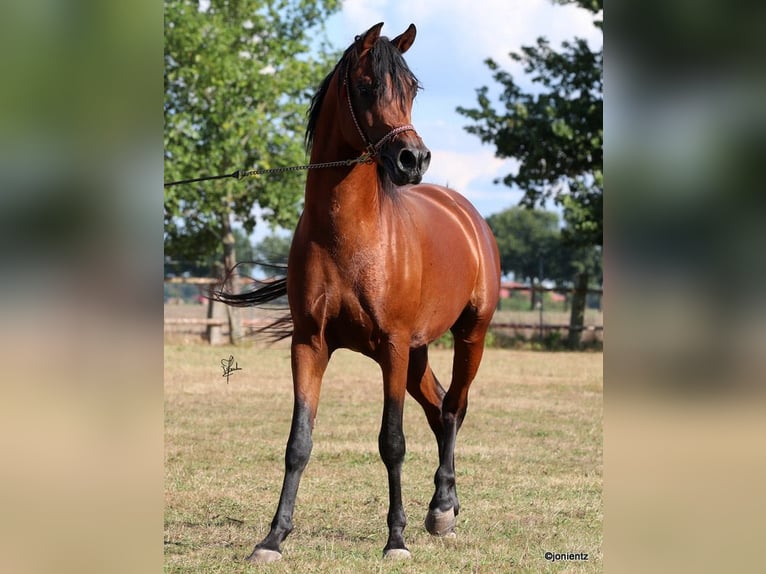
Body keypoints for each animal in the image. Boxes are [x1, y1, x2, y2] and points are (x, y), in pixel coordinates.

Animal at [221, 22, 500, 562]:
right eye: (369, 86)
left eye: (411, 90)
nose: (413, 159)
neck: (350, 236)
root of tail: (466, 212)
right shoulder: (310, 345)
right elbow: (298, 443)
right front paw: (273, 538)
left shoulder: (391, 346)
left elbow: (392, 441)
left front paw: (396, 540)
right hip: (417, 353)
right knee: (438, 408)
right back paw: (443, 507)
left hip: (468, 336)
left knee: (454, 407)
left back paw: (442, 510)